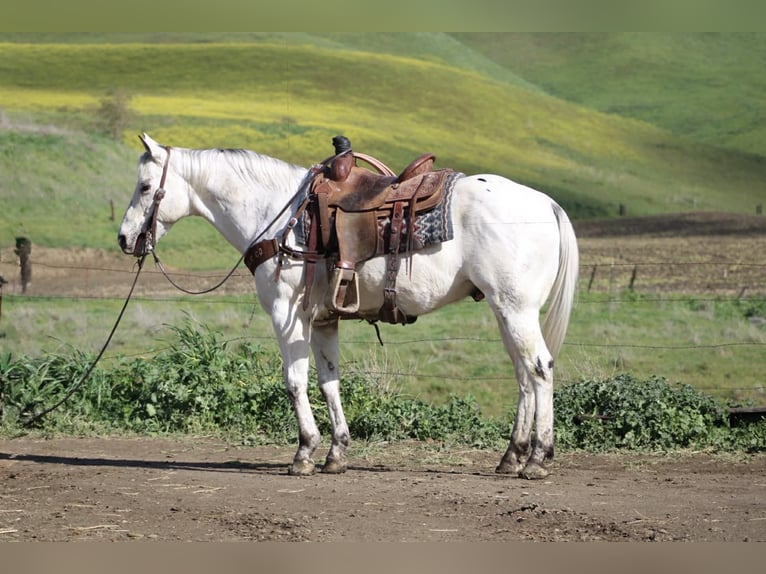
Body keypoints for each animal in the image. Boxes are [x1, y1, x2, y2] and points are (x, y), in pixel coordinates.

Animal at [117, 133, 579, 480]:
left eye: (145, 187)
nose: (124, 238)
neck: (279, 217)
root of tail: (547, 203)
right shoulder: (323, 321)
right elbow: (329, 382)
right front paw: (336, 452)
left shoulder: (287, 316)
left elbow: (295, 382)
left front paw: (304, 452)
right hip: (505, 311)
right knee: (523, 376)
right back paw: (512, 456)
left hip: (516, 310)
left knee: (539, 369)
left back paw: (538, 458)